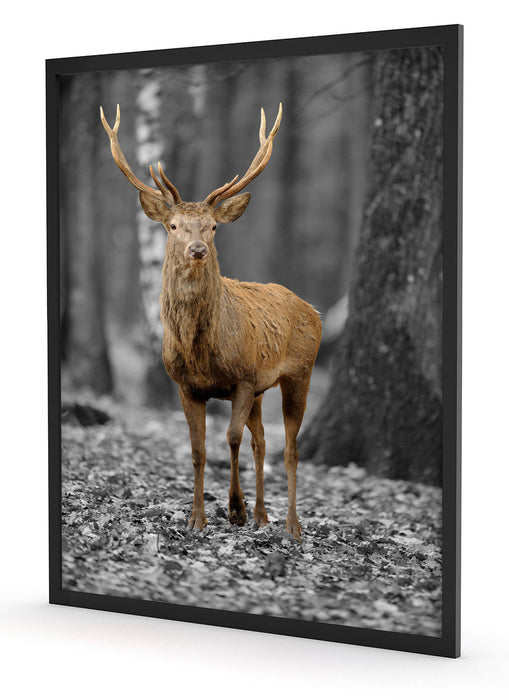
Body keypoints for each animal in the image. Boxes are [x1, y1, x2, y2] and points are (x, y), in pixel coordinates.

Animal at [100, 104, 322, 540]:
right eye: (173, 226)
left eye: (214, 226)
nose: (198, 249)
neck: (201, 350)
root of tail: (313, 310)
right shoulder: (187, 386)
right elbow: (198, 450)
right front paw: (197, 518)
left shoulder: (243, 378)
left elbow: (230, 438)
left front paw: (234, 510)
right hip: (262, 389)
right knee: (263, 441)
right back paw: (263, 514)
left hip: (300, 372)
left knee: (290, 448)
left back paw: (291, 525)